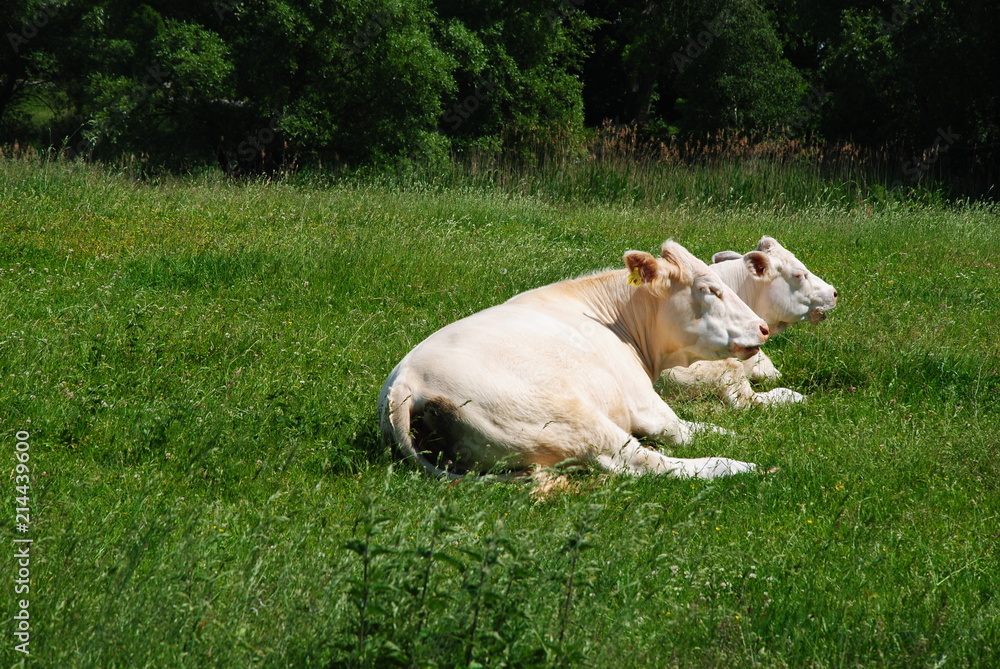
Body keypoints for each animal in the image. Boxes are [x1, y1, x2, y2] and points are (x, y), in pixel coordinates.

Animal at [378, 240, 770, 481]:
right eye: (710, 289)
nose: (762, 328)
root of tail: (408, 379)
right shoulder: (647, 404)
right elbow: (693, 431)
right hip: (575, 419)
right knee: (646, 462)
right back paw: (740, 467)